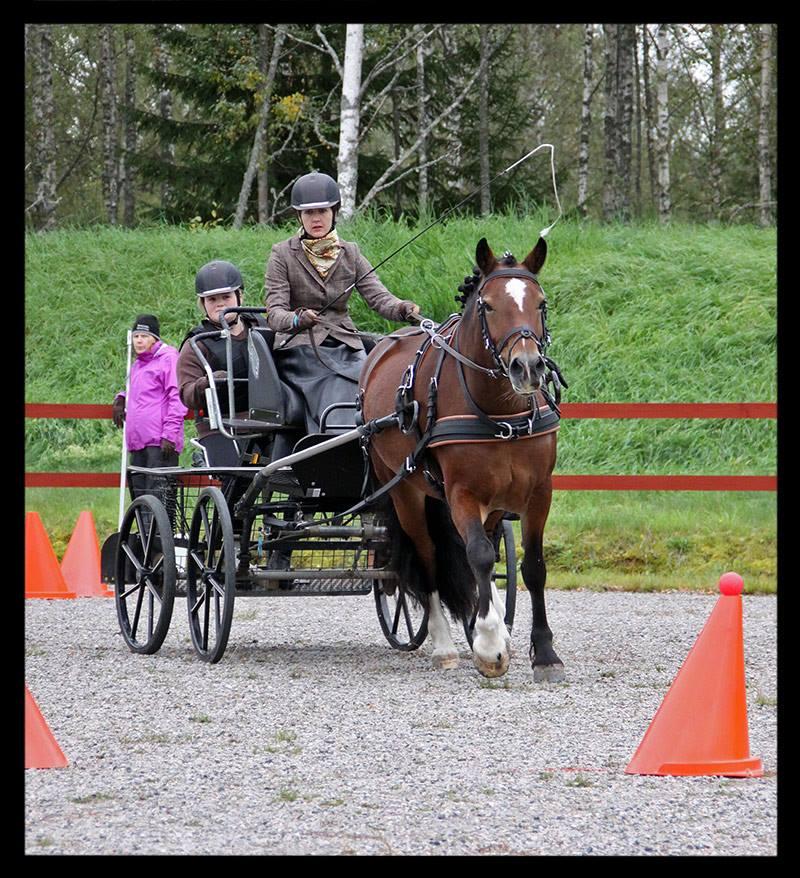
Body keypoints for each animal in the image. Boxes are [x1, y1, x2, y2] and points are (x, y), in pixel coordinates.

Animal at [360, 237, 564, 684]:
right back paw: (445, 646)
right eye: (487, 305)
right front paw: (489, 647)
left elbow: (533, 567)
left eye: (541, 303)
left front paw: (543, 653)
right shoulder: (462, 494)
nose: (527, 367)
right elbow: (479, 557)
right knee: (429, 559)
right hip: (406, 492)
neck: (502, 414)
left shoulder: (539, 491)